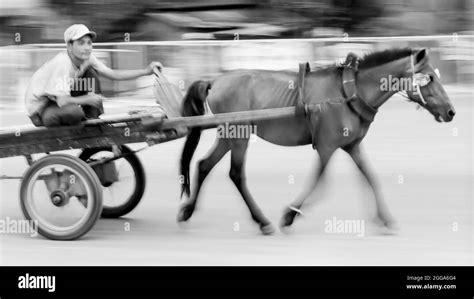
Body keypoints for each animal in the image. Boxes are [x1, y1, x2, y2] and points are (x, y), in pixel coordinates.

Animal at [177, 48, 456, 237]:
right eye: (429, 78)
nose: (451, 111)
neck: (349, 92)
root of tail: (215, 80)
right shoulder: (326, 147)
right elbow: (319, 181)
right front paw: (289, 215)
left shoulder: (352, 146)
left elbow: (370, 176)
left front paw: (385, 218)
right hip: (239, 134)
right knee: (236, 174)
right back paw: (262, 220)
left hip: (229, 134)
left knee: (204, 165)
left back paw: (188, 210)